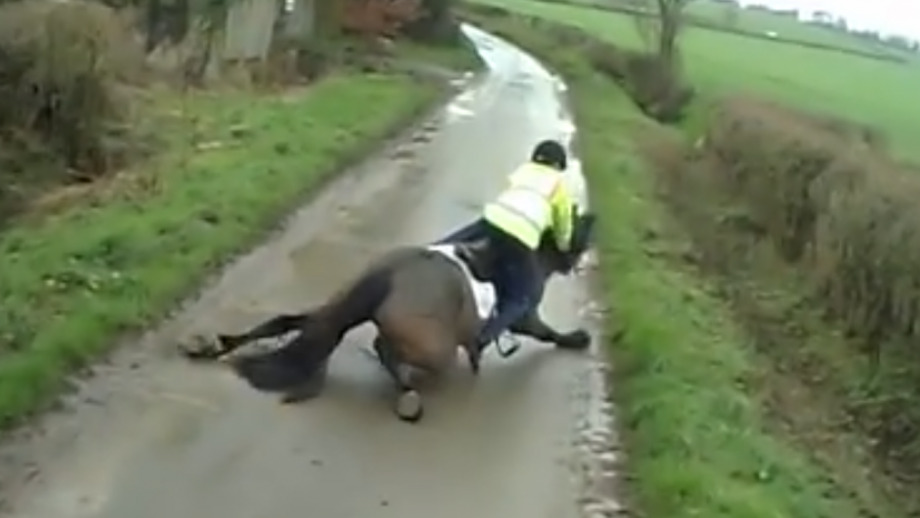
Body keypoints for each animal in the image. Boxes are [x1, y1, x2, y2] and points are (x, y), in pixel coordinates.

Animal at [181, 212, 596, 422]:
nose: (583, 254)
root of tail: (390, 272)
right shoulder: (524, 312)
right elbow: (546, 332)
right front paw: (576, 338)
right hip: (436, 348)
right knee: (383, 348)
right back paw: (408, 398)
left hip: (340, 307)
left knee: (294, 322)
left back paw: (212, 345)